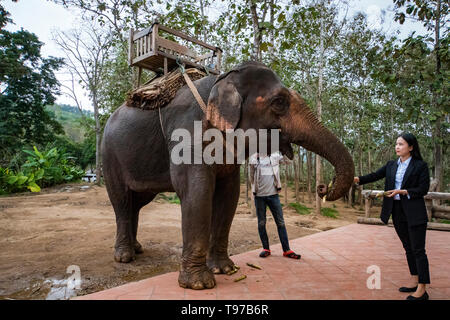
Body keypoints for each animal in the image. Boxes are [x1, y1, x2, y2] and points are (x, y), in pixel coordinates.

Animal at [101, 60, 356, 290]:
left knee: (137, 202)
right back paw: (124, 256)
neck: (223, 78)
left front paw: (226, 269)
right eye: (279, 102)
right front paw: (199, 284)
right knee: (122, 200)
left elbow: (228, 195)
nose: (323, 187)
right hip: (109, 156)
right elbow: (197, 193)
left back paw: (137, 248)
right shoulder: (187, 134)